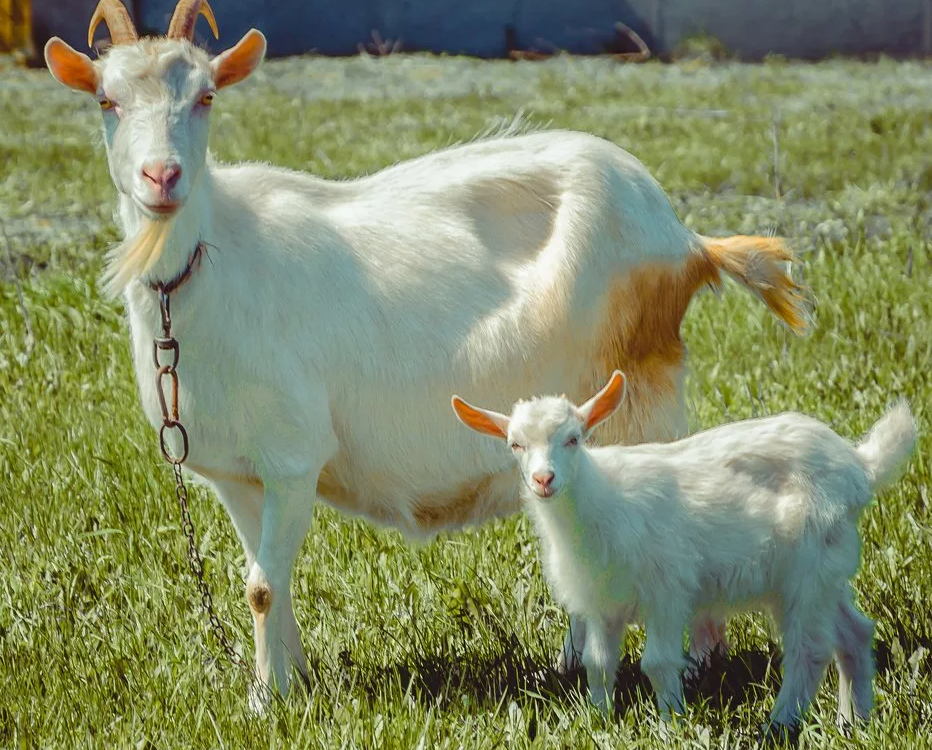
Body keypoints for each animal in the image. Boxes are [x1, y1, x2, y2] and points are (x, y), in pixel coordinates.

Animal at [45, 0, 808, 712]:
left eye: (205, 95)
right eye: (107, 100)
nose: (162, 177)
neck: (209, 264)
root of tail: (687, 241)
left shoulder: (293, 456)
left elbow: (261, 585)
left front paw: (267, 699)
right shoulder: (237, 472)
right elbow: (267, 580)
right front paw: (288, 687)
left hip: (641, 396)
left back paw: (691, 662)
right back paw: (578, 660)